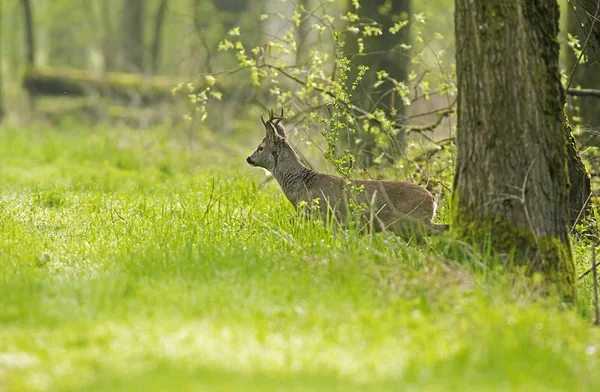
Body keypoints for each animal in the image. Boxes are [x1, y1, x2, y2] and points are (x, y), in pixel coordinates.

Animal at [245, 110, 450, 239]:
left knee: (442, 229)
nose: (249, 158)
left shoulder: (320, 216)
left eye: (260, 147)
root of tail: (432, 199)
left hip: (414, 222)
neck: (301, 185)